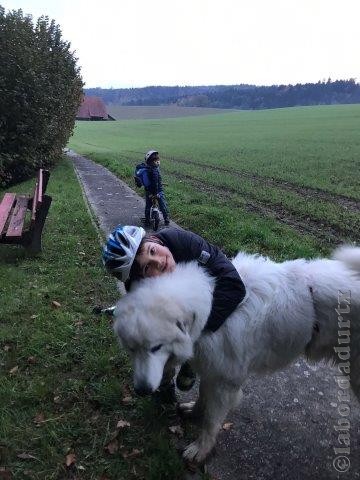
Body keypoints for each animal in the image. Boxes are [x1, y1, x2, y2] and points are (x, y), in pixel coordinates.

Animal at [113, 246, 360, 464]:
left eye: (156, 347)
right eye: (132, 349)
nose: (142, 390)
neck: (212, 308)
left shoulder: (226, 381)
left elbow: (211, 421)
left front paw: (200, 450)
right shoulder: (213, 371)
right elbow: (203, 396)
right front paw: (194, 411)